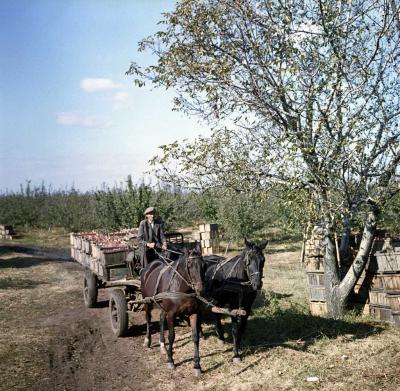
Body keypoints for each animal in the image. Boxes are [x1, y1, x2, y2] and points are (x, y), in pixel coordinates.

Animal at [141, 245, 205, 376]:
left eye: (204, 265)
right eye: (189, 265)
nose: (200, 289)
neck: (181, 288)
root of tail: (149, 267)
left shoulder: (194, 313)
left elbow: (195, 337)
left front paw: (197, 365)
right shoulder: (171, 314)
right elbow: (171, 336)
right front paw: (170, 360)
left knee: (161, 318)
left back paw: (162, 345)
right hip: (147, 302)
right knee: (148, 319)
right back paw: (147, 340)